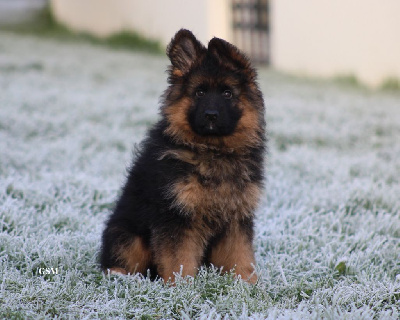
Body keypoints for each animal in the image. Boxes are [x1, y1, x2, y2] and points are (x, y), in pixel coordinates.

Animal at [99, 28, 264, 284]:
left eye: (227, 93)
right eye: (200, 92)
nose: (211, 115)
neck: (211, 150)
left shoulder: (237, 219)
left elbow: (240, 255)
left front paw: (246, 284)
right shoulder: (176, 216)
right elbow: (179, 259)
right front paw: (181, 287)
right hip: (128, 236)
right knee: (119, 262)